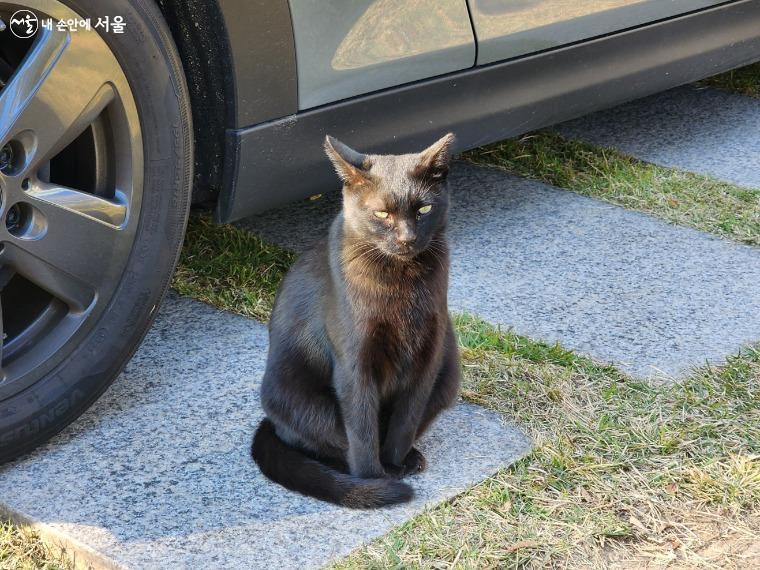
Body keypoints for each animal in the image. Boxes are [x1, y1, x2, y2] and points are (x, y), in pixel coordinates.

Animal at [252, 133, 460, 506]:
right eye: (381, 212)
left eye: (424, 209)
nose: (407, 238)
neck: (401, 283)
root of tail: (271, 422)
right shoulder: (355, 365)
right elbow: (362, 432)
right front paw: (373, 483)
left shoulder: (428, 358)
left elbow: (404, 422)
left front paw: (394, 464)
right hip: (301, 399)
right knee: (326, 443)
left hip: (450, 373)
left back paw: (410, 459)